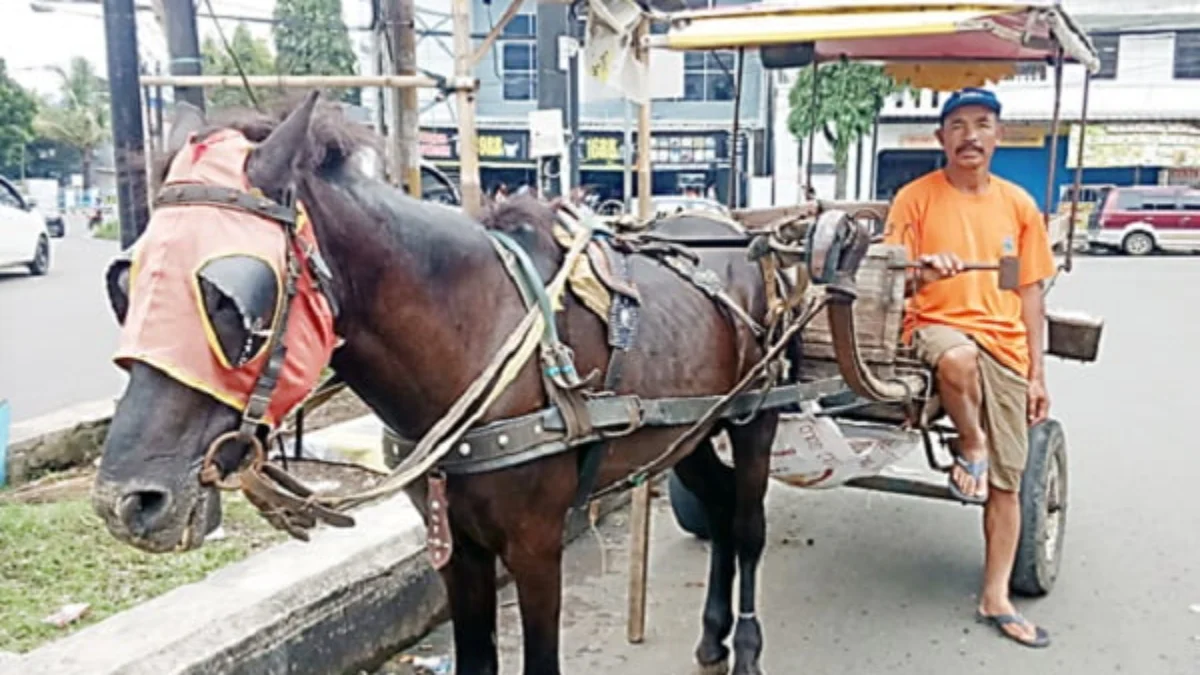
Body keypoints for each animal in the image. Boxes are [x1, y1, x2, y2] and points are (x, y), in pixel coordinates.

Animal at [91, 93, 787, 672]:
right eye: (125, 285)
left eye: (230, 302)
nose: (126, 502)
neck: (471, 333)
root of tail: (735, 234)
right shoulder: (456, 545)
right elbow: (475, 660)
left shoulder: (536, 543)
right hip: (689, 429)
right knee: (719, 506)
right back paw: (713, 634)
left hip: (756, 414)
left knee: (747, 522)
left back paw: (749, 644)